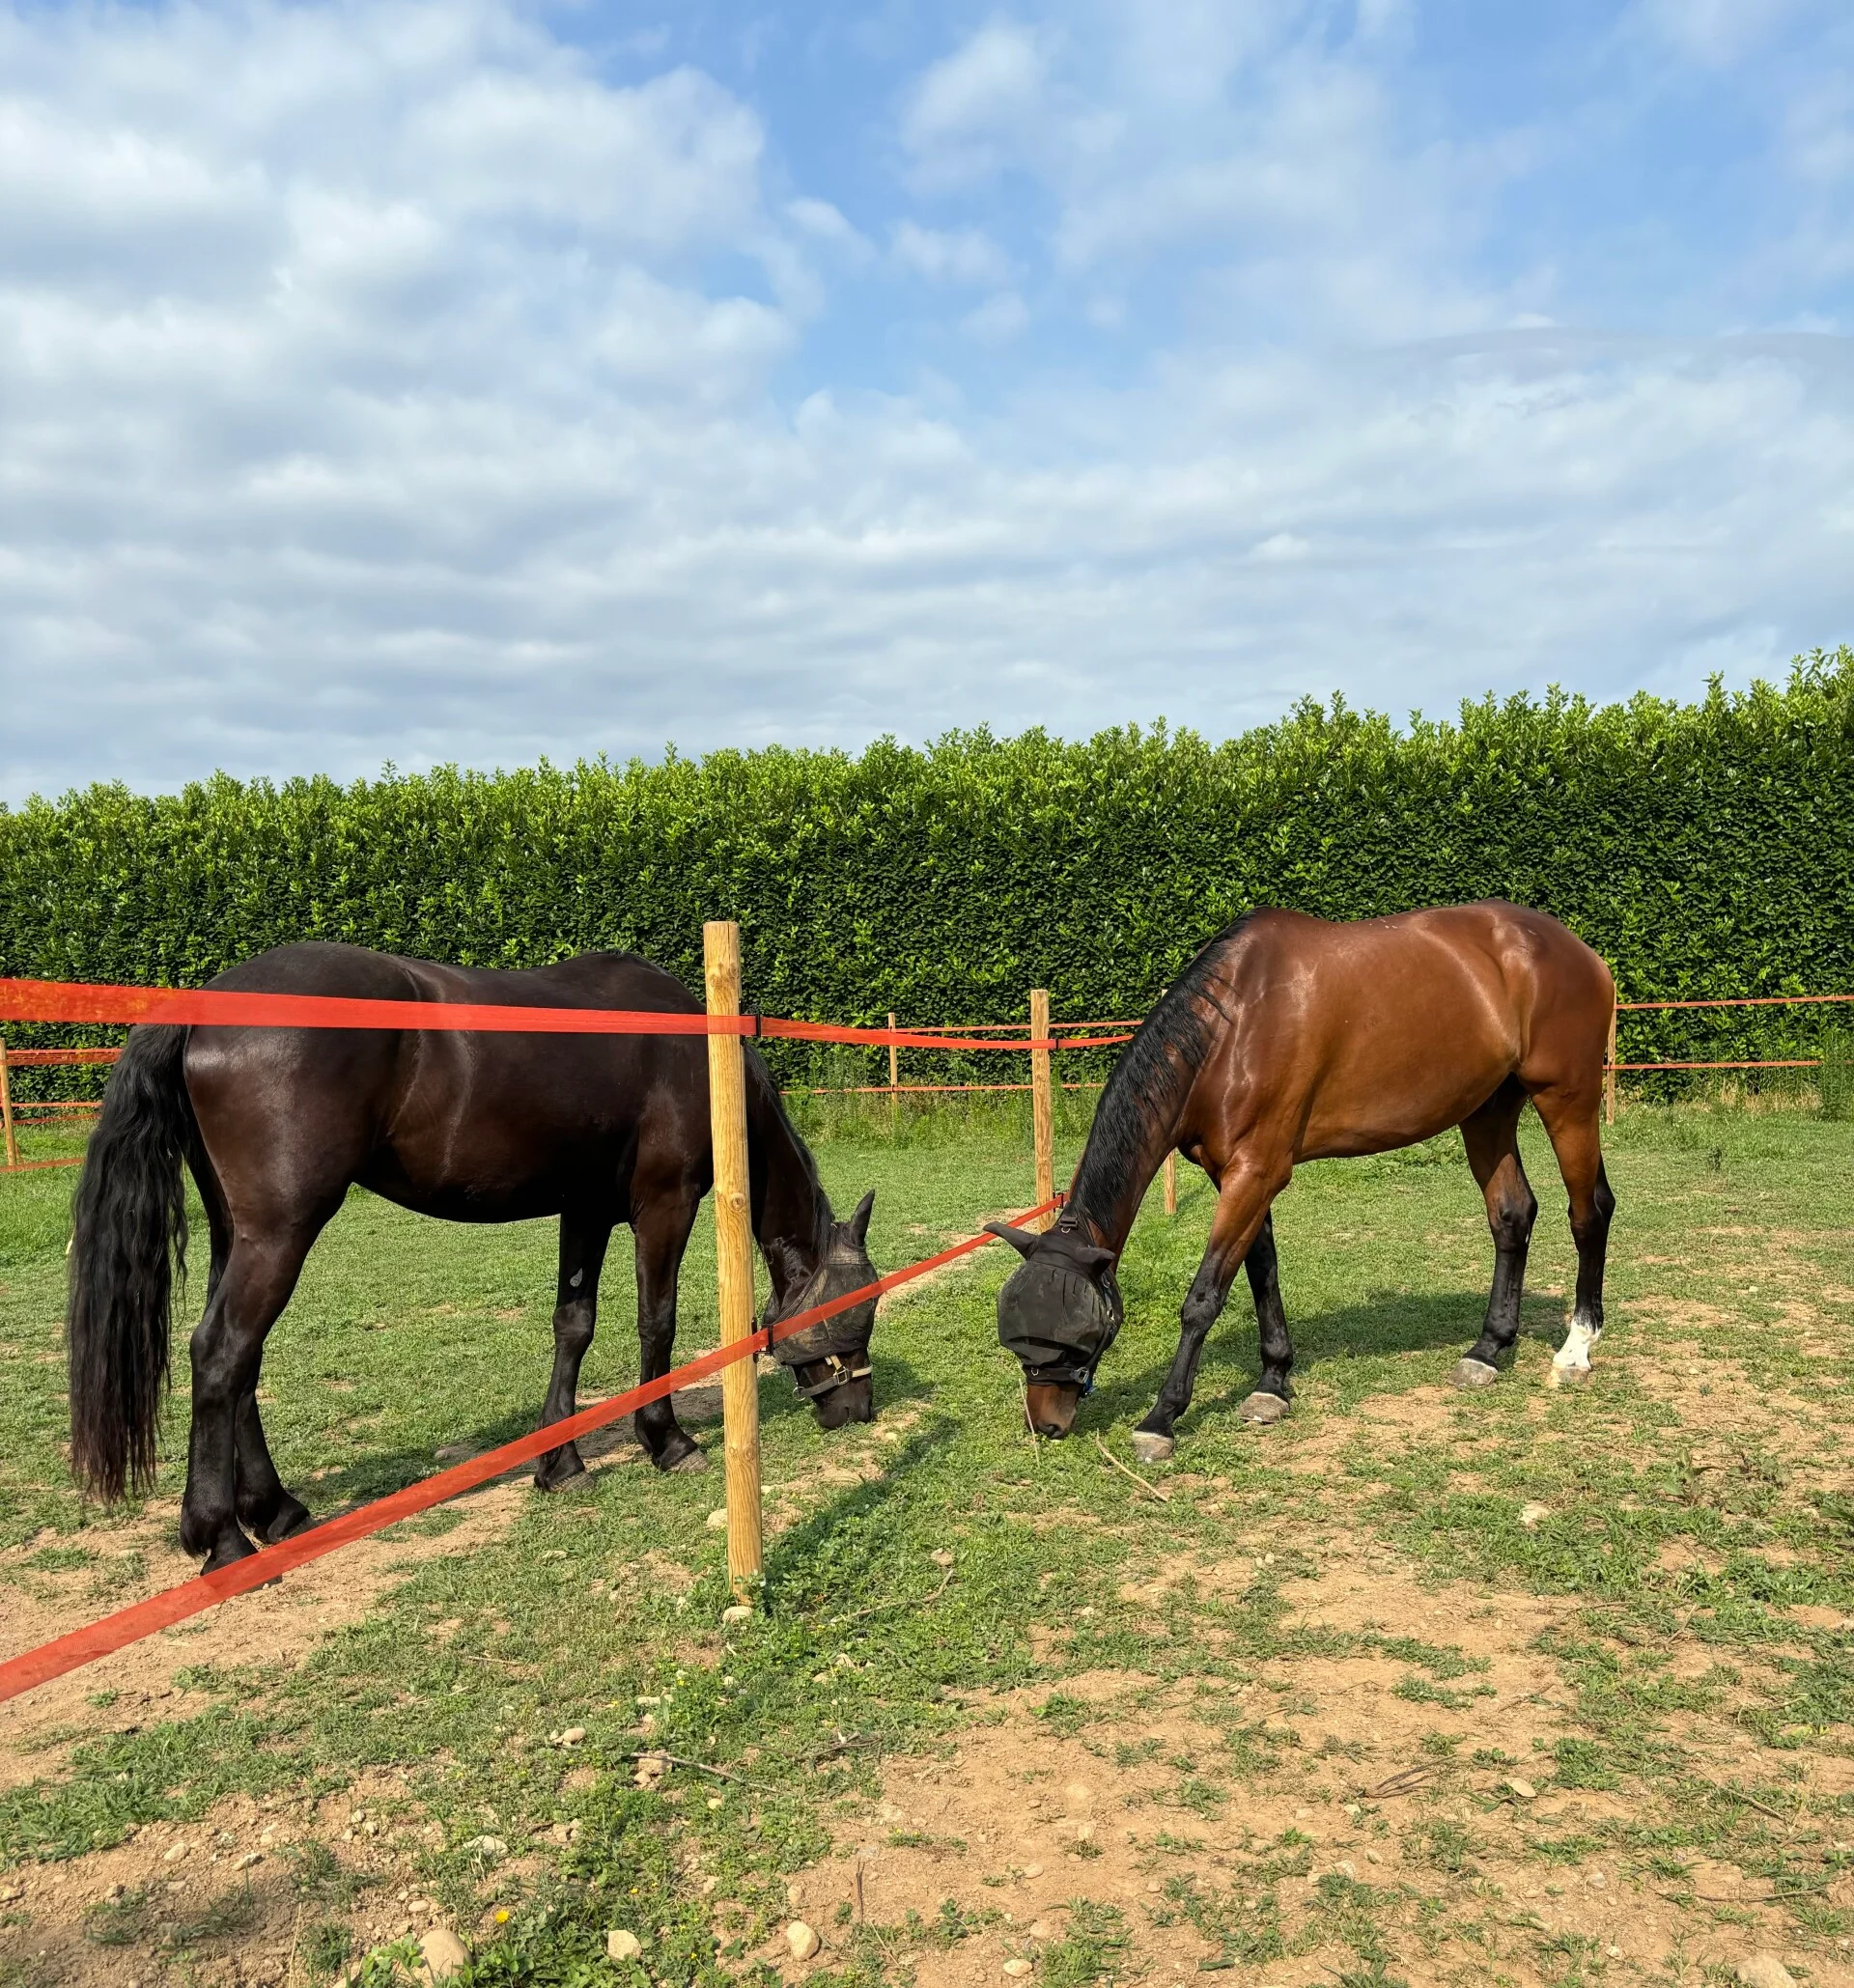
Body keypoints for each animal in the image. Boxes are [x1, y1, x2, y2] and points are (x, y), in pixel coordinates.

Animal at [66, 943, 881, 1571]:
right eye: (858, 1313)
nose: (859, 1410)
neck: (696, 1050)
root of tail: (202, 1005)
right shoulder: (664, 1203)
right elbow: (658, 1320)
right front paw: (667, 1439)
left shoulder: (585, 1210)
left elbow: (573, 1325)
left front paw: (560, 1464)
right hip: (280, 1233)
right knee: (221, 1352)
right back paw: (222, 1538)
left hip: (238, 1232)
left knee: (240, 1363)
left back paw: (275, 1508)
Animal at [987, 903, 1616, 1461]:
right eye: (1016, 1340)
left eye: (1079, 1336)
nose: (1046, 1424)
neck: (1234, 1026)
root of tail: (1577, 949)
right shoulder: (1239, 1175)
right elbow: (1261, 1274)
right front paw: (1272, 1383)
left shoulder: (1256, 1172)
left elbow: (1204, 1297)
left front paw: (1162, 1417)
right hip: (1488, 1111)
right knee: (1512, 1214)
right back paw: (1487, 1350)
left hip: (1569, 1100)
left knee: (1589, 1211)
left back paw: (1577, 1347)